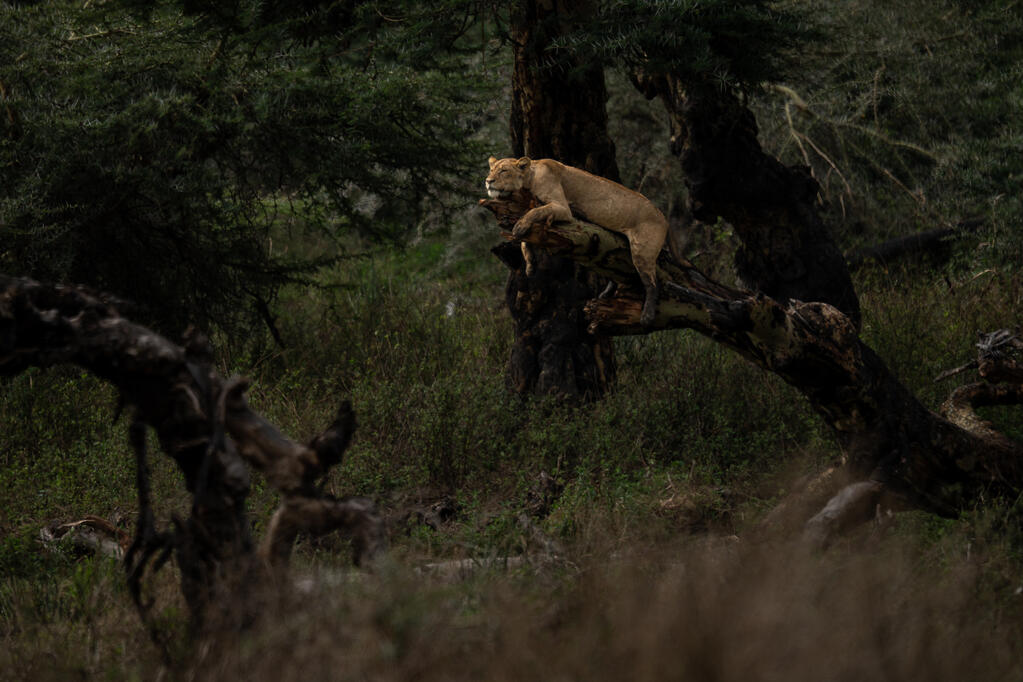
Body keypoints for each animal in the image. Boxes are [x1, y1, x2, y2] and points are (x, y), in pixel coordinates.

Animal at [486, 156, 670, 327]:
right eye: (491, 170)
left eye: (503, 171)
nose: (488, 181)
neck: (529, 178)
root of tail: (663, 217)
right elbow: (526, 239)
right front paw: (530, 265)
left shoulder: (562, 208)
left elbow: (535, 212)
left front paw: (519, 227)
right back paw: (605, 294)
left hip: (642, 251)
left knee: (652, 283)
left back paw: (647, 316)